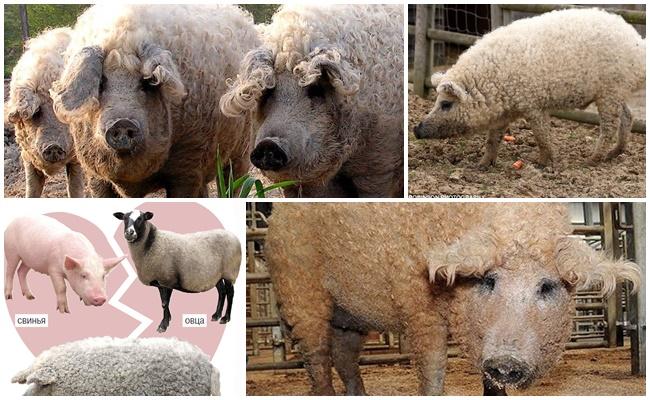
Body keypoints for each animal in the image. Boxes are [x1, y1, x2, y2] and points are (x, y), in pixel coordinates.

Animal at [4, 27, 84, 197]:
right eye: (36, 112)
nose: (53, 146)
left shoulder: (76, 157)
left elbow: (75, 189)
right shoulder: (26, 154)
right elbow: (31, 189)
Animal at [50, 5, 260, 197]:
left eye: (148, 82)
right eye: (101, 83)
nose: (121, 122)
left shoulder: (188, 163)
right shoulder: (93, 173)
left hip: (241, 150)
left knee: (234, 183)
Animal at [265, 203, 641, 395]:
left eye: (546, 286)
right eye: (488, 280)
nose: (507, 361)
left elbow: (491, 385)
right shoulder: (418, 308)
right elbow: (432, 372)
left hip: (350, 315)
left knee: (344, 356)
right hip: (300, 290)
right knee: (317, 357)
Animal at [413, 8, 646, 169]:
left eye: (445, 104)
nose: (416, 129)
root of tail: (638, 43)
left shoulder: (533, 104)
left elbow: (541, 135)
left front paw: (542, 164)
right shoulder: (504, 114)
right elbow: (492, 139)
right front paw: (480, 166)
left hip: (610, 90)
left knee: (609, 125)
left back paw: (590, 160)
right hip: (617, 92)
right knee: (628, 116)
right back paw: (613, 154)